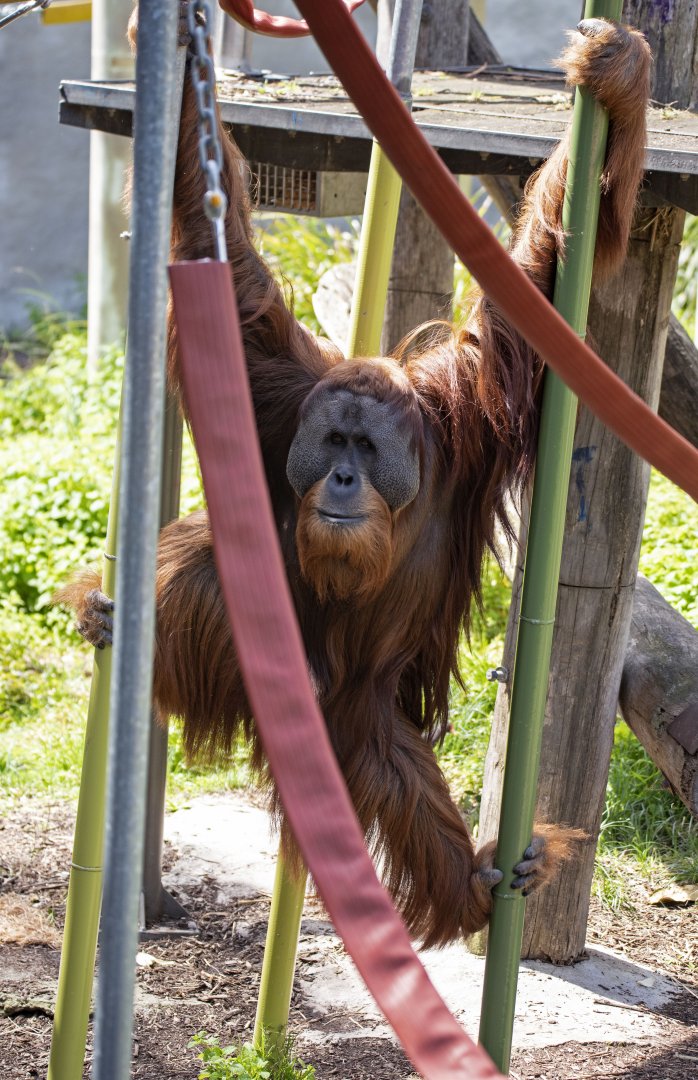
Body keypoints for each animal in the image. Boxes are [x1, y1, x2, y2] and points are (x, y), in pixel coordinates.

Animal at [60, 15, 650, 948]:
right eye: (333, 440)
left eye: (366, 451)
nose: (338, 476)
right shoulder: (275, 394)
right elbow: (216, 255)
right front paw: (184, 60)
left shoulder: (471, 407)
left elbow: (544, 283)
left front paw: (619, 74)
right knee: (198, 575)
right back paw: (113, 616)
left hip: (357, 711)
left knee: (390, 766)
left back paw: (483, 878)